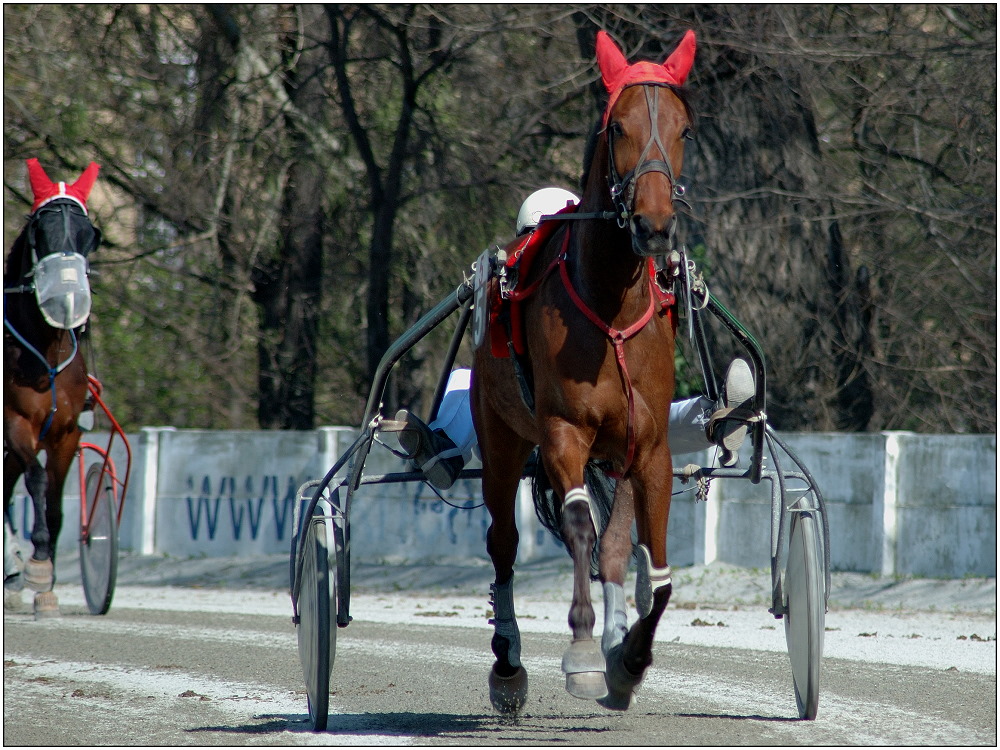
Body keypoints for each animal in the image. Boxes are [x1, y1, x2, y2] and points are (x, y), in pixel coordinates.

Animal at [472, 32, 700, 712]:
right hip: (501, 439)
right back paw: (508, 664)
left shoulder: (647, 447)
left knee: (614, 547)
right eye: (619, 126)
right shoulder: (562, 434)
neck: (610, 308)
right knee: (503, 543)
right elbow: (576, 525)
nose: (654, 225)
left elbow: (654, 568)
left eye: (683, 128)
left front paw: (629, 660)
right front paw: (581, 651)